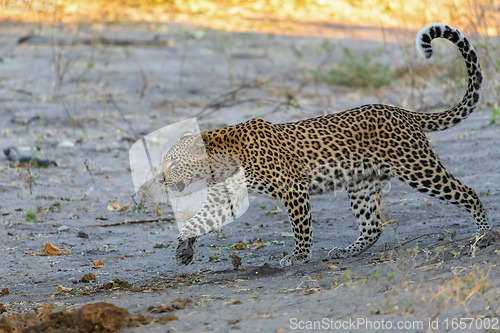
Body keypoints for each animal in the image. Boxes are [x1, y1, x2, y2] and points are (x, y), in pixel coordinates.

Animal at [161, 22, 492, 268]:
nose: (162, 180)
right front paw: (184, 248)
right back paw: (346, 251)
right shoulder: (221, 199)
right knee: (373, 226)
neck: (219, 162)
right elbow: (198, 221)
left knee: (468, 192)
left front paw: (299, 256)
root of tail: (404, 112)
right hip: (361, 183)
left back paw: (484, 236)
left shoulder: (293, 187)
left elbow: (301, 226)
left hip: (418, 169)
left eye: (173, 163)